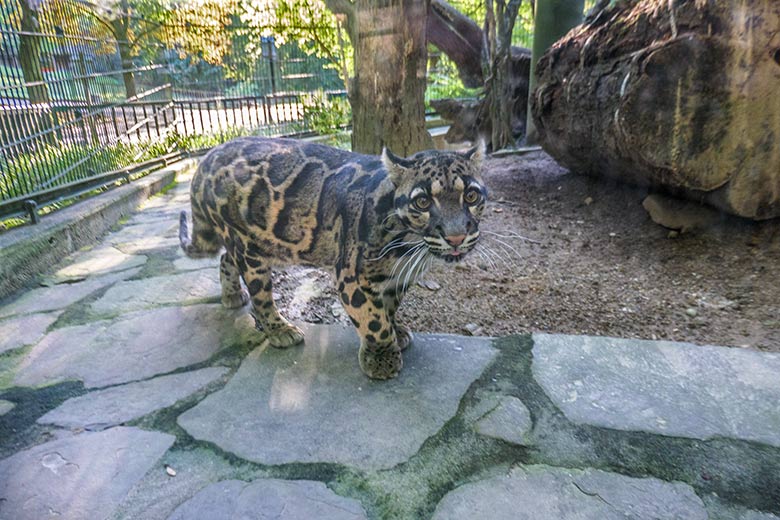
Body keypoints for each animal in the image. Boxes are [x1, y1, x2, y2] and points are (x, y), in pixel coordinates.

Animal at [181, 136, 488, 380]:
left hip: (257, 243)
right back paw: (280, 329)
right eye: (423, 202)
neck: (410, 243)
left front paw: (396, 332)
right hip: (248, 246)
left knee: (226, 259)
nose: (456, 237)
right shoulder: (353, 276)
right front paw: (381, 356)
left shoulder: (397, 276)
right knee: (259, 293)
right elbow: (373, 320)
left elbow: (389, 308)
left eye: (471, 196)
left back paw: (232, 295)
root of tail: (206, 159)